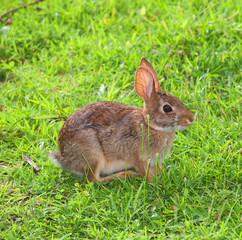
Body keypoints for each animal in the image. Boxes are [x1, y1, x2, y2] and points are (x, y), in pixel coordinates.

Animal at [50, 57, 194, 182]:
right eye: (167, 108)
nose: (191, 119)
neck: (150, 125)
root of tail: (64, 158)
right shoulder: (135, 156)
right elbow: (143, 170)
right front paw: (153, 181)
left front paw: (163, 175)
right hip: (92, 153)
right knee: (94, 180)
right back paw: (125, 175)